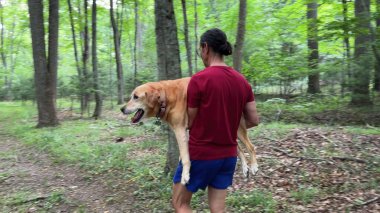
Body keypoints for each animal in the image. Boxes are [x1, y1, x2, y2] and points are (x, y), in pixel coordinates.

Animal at [121, 77, 258, 184]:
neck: (165, 97)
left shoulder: (180, 130)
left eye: (135, 97)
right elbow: (184, 154)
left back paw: (254, 167)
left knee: (250, 146)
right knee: (238, 148)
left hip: (236, 129)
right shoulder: (185, 131)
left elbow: (186, 157)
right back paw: (245, 168)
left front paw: (185, 176)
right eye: (131, 96)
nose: (122, 109)